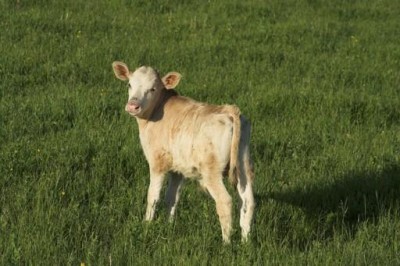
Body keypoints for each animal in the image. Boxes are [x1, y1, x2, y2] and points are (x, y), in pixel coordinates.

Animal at [111, 61, 255, 243]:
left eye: (153, 89)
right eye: (129, 84)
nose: (133, 105)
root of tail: (229, 110)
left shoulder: (158, 163)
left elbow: (153, 197)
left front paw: (146, 226)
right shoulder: (178, 170)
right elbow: (172, 198)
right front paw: (168, 227)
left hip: (211, 172)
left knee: (225, 201)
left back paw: (226, 243)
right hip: (243, 164)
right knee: (247, 201)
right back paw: (245, 241)